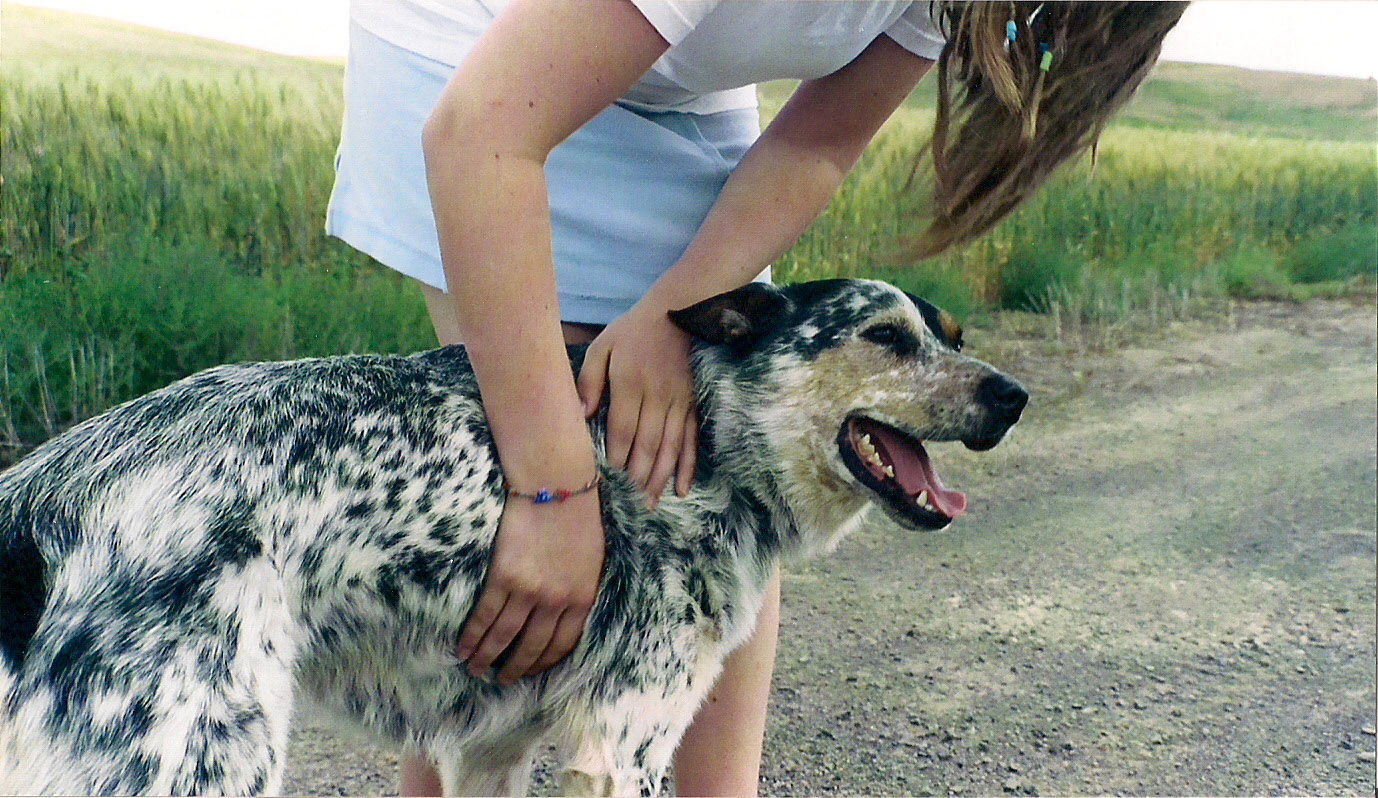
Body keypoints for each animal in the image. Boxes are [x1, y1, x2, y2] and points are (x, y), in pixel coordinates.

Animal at [0, 278, 1025, 793]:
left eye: (952, 335)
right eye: (885, 337)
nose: (1013, 397)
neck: (708, 432)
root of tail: (43, 495)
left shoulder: (491, 749)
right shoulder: (622, 745)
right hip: (206, 764)